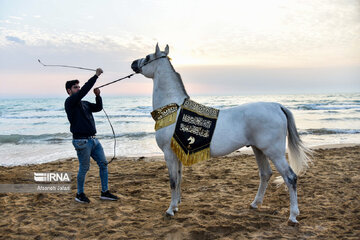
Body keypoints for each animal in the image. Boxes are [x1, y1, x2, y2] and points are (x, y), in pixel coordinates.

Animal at [131, 43, 310, 223]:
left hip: (274, 152)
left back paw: (293, 216)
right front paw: (176, 205)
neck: (174, 108)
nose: (133, 63)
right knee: (265, 174)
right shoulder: (178, 152)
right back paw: (255, 204)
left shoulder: (169, 153)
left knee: (290, 177)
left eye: (147, 57)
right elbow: (179, 178)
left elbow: (173, 181)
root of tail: (277, 106)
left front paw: (170, 210)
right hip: (258, 149)